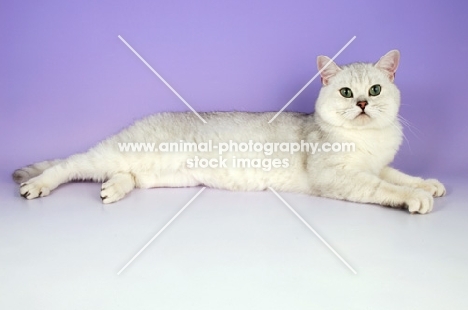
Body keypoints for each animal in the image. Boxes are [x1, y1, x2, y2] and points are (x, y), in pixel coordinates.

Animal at [13, 50, 446, 213]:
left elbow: (398, 174)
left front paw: (428, 183)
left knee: (126, 176)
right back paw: (37, 185)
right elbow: (385, 187)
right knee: (68, 165)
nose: (362, 105)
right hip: (110, 153)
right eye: (345, 92)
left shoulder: (376, 165)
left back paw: (113, 190)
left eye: (375, 90)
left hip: (154, 176)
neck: (368, 140)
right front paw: (415, 197)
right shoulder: (339, 176)